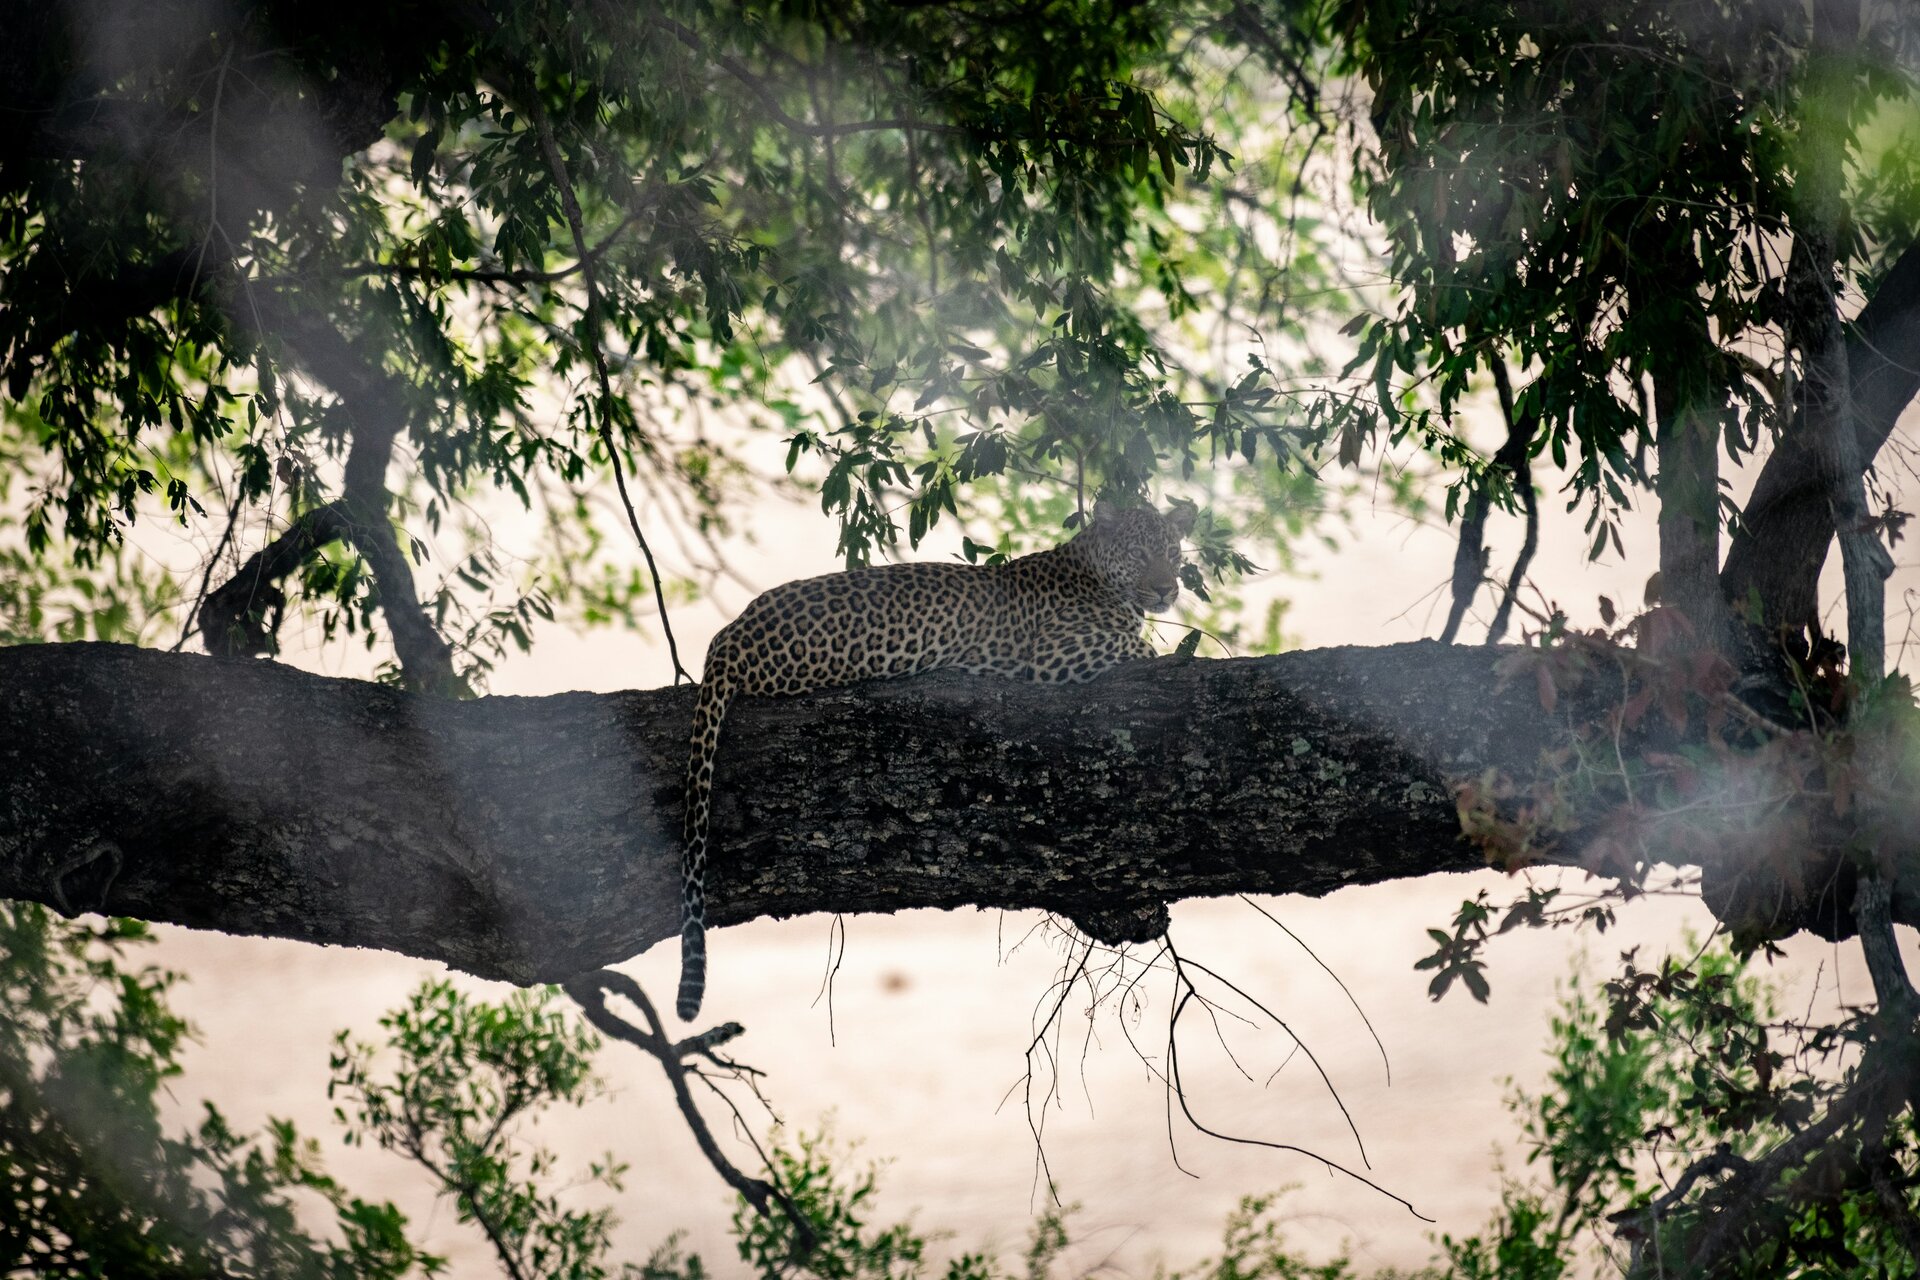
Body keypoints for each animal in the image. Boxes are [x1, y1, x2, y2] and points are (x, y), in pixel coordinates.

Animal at [675, 499, 1195, 1020]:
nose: (1166, 587)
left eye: (1172, 553)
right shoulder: (1060, 653)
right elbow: (1143, 646)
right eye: (1138, 553)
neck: (1094, 572)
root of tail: (729, 635)